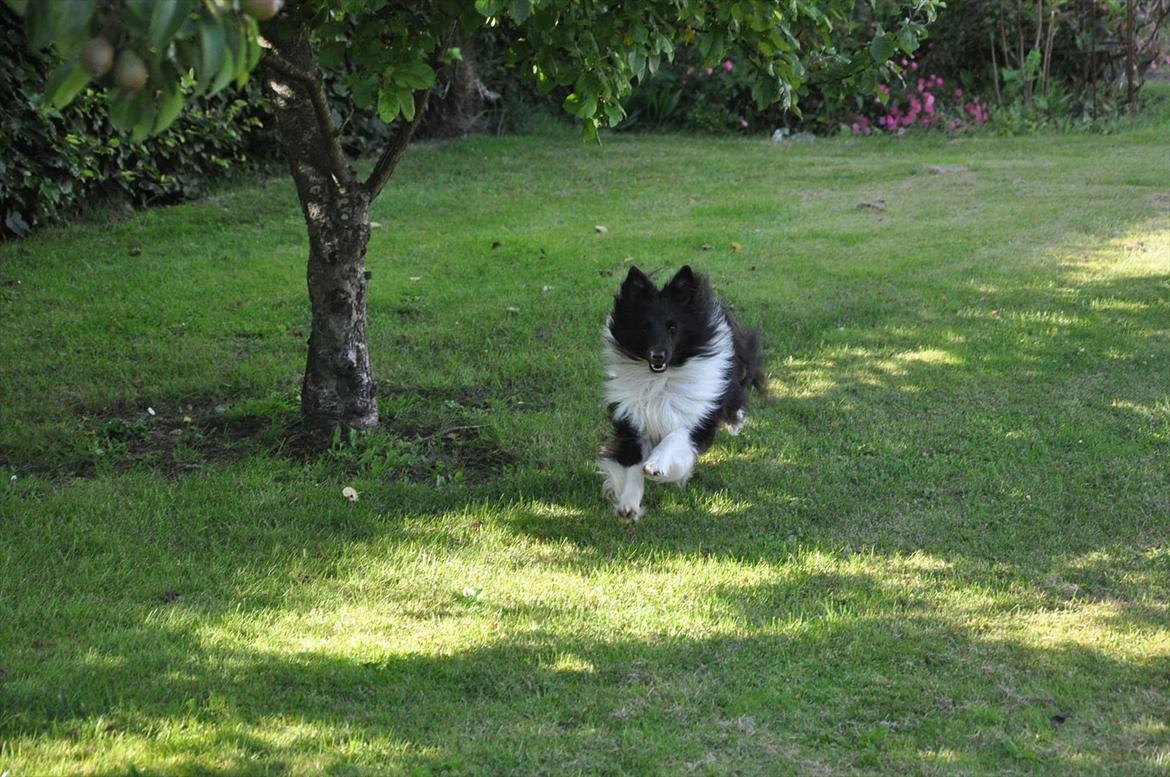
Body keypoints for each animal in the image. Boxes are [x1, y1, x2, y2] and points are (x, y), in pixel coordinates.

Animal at [594, 265, 767, 521]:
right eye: (644, 326)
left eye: (673, 326)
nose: (658, 356)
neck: (661, 379)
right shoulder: (632, 423)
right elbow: (632, 466)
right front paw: (629, 505)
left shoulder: (695, 421)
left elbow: (675, 437)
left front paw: (656, 466)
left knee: (736, 397)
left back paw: (736, 423)